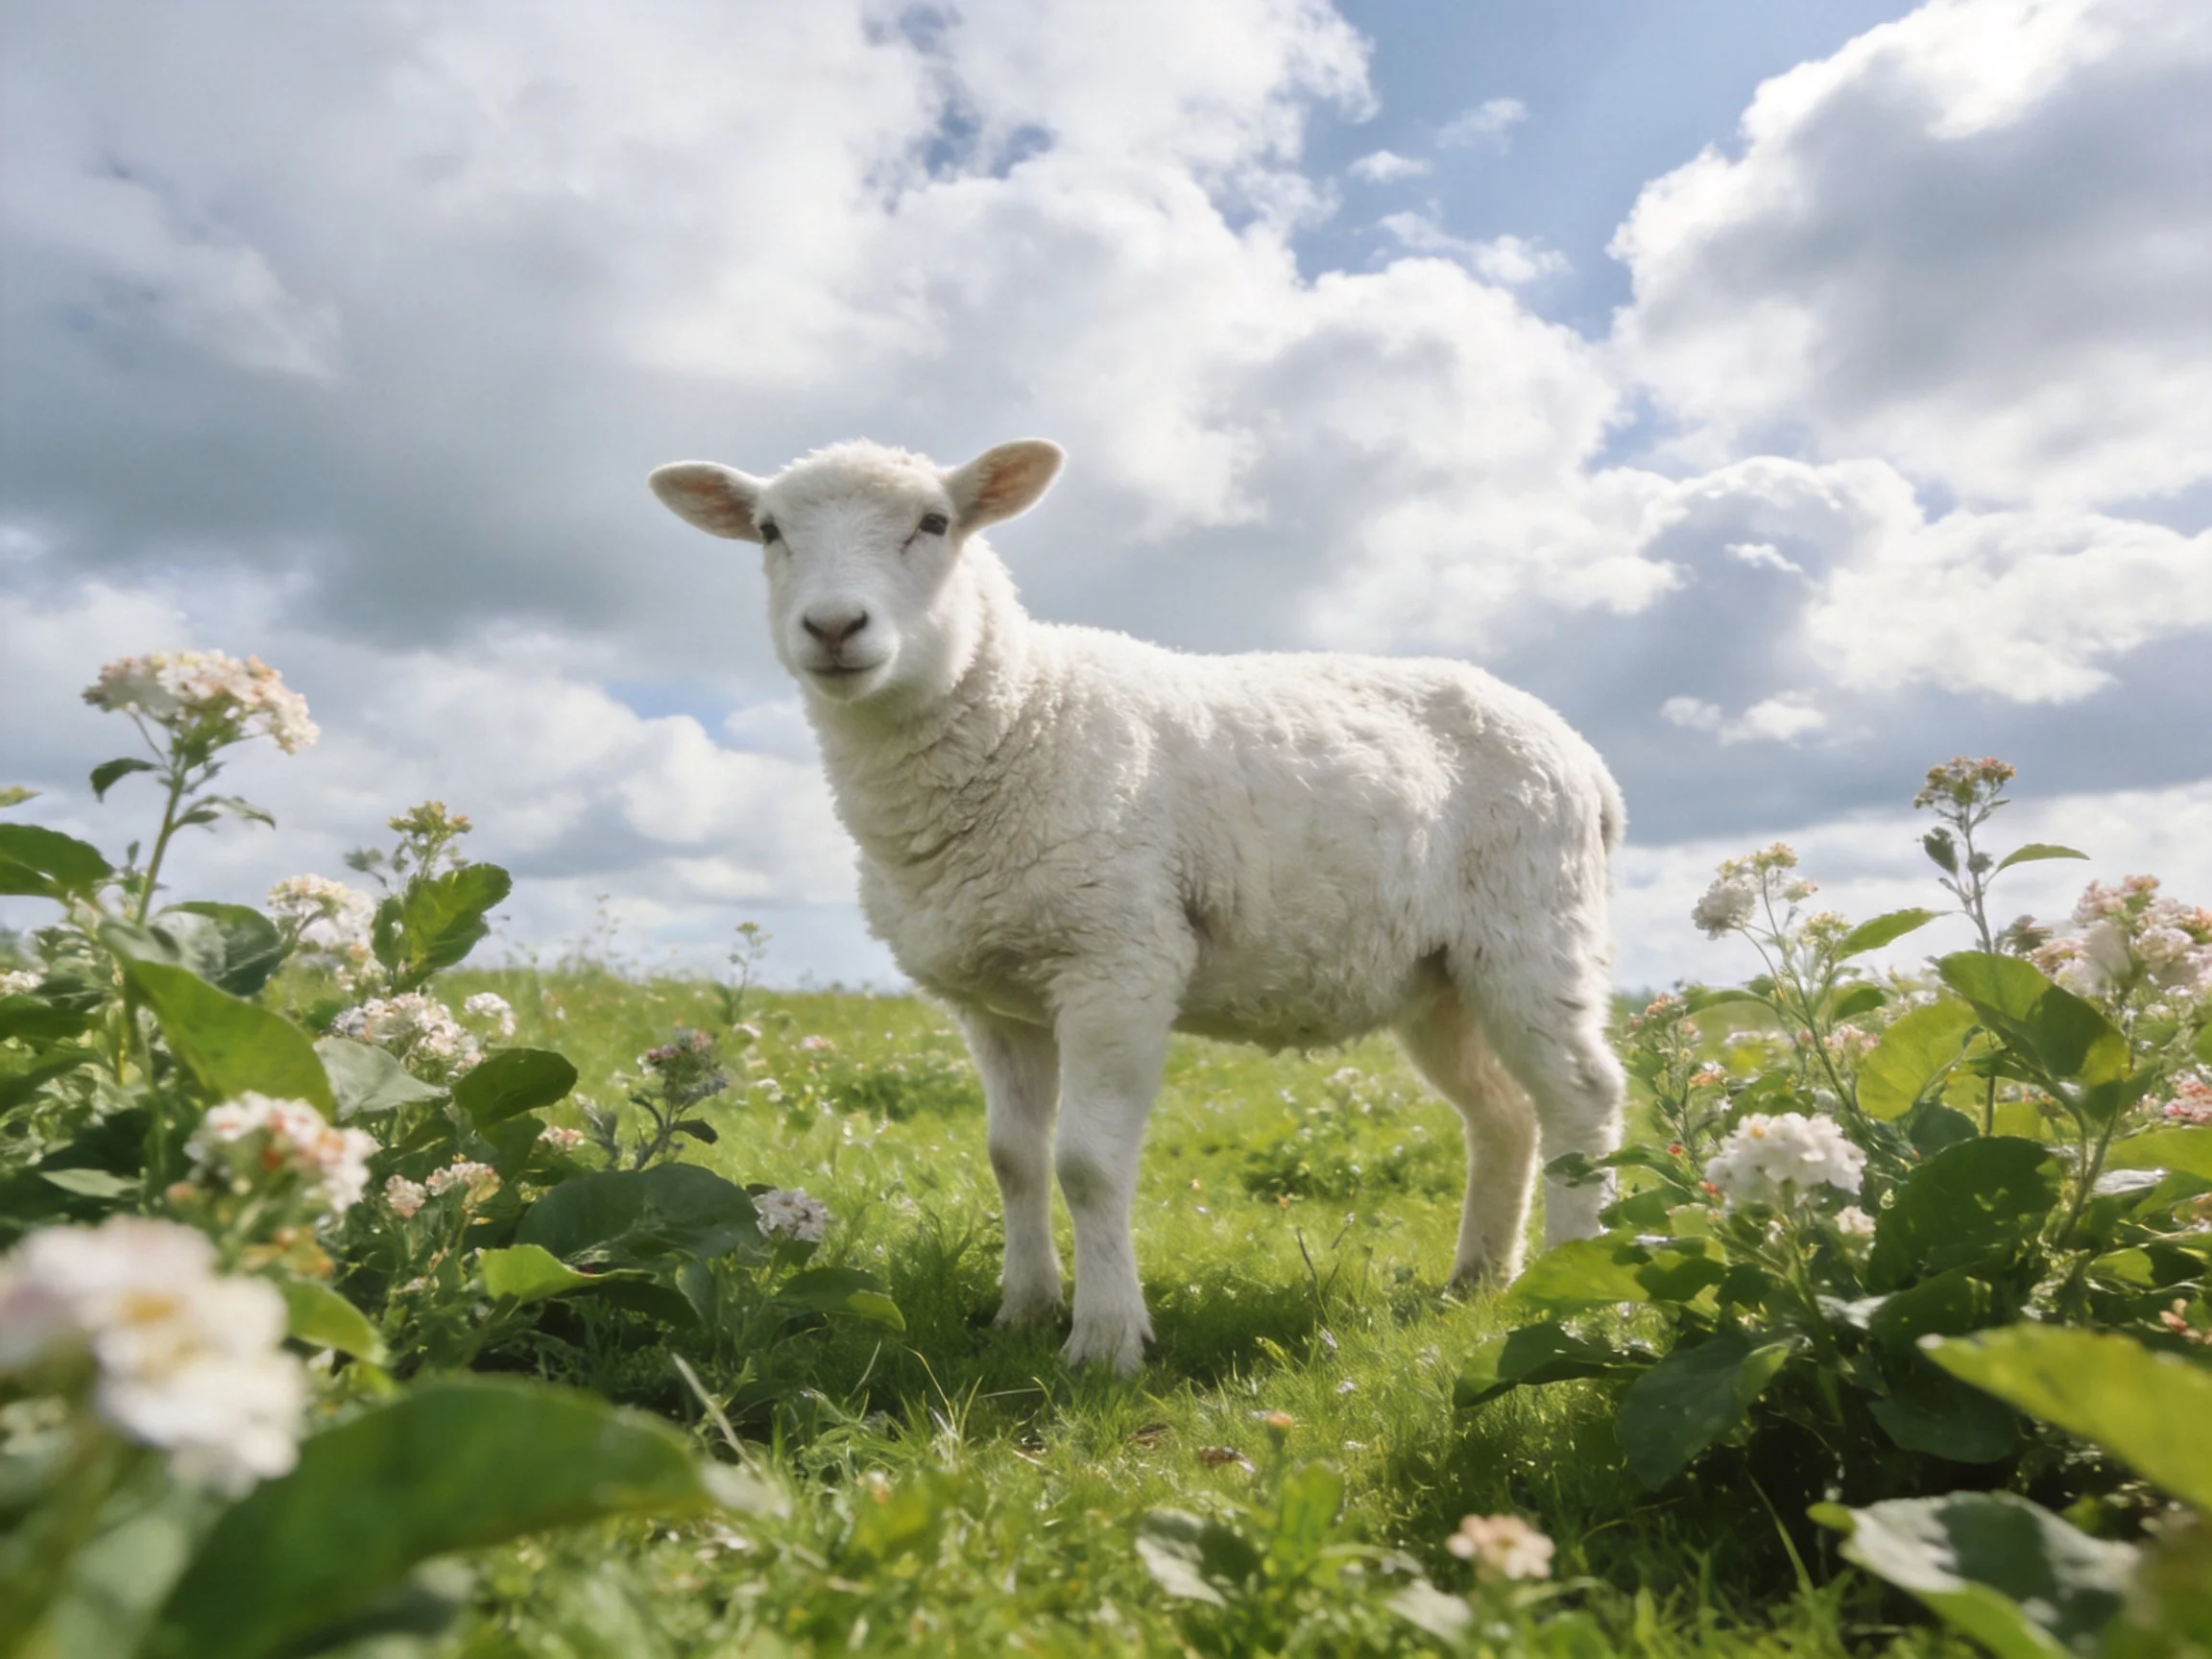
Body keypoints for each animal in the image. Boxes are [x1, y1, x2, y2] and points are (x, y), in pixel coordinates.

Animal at [649, 439, 1627, 1375]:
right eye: (769, 531)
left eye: (934, 522)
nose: (833, 627)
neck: (1020, 718)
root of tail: (1584, 756)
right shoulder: (995, 1001)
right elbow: (1013, 1160)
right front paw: (1023, 1310)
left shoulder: (1117, 962)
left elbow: (1086, 1166)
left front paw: (1106, 1339)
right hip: (1439, 979)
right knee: (1503, 1114)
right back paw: (1477, 1278)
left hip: (1533, 930)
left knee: (1582, 1098)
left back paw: (1574, 1285)